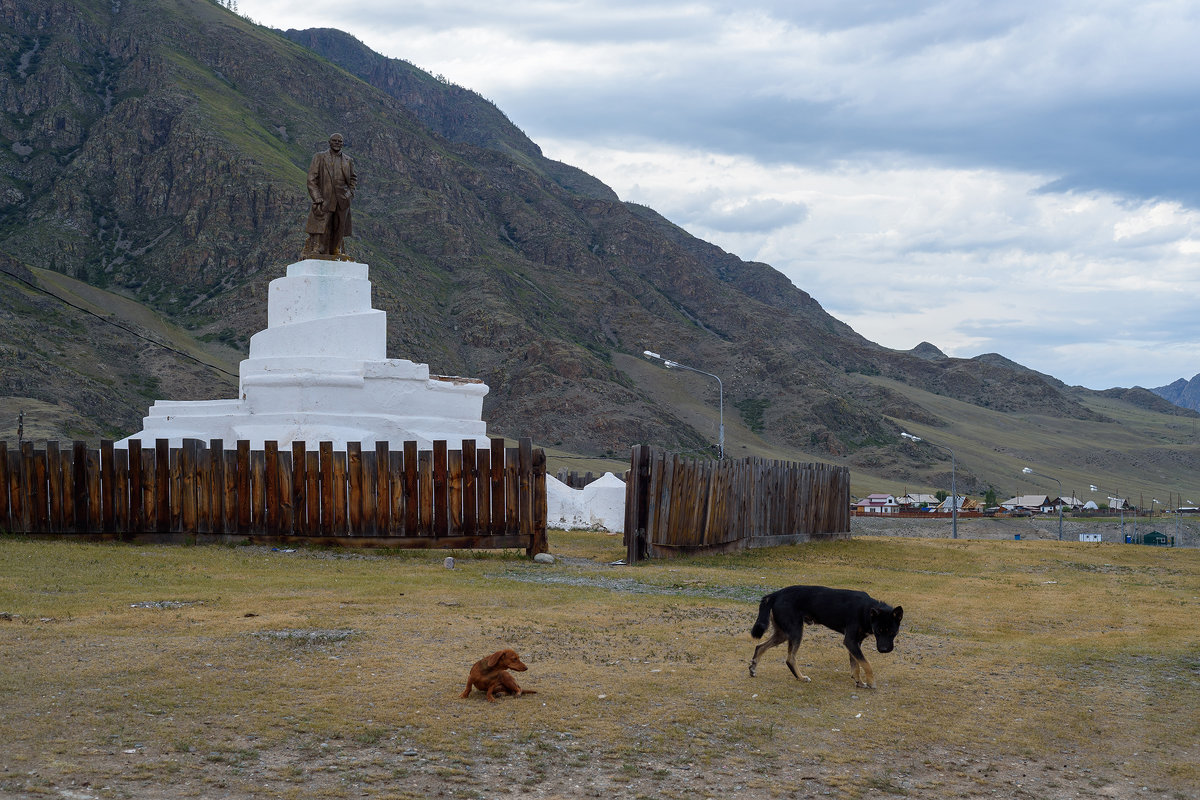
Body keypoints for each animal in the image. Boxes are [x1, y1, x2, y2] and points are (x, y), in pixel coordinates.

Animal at [744, 585, 902, 690]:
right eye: (878, 631)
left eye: (892, 632)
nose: (884, 650)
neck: (866, 610)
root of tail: (776, 594)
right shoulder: (850, 641)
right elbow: (866, 663)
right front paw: (870, 682)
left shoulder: (855, 642)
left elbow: (856, 664)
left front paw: (859, 681)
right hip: (796, 631)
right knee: (790, 659)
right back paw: (801, 677)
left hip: (782, 633)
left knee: (760, 647)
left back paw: (753, 668)